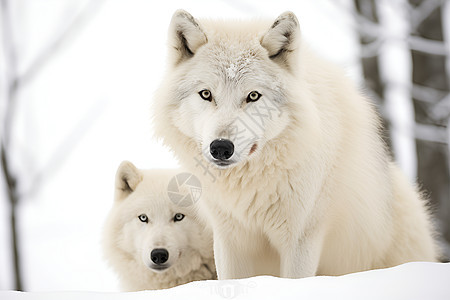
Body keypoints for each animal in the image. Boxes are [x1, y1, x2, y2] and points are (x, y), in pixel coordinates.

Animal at [151, 10, 436, 280]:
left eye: (253, 96)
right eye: (206, 94)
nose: (221, 147)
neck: (251, 188)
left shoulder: (302, 239)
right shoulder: (229, 240)